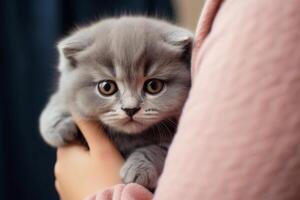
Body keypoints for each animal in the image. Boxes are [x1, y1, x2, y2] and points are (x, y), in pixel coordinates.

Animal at [39, 15, 192, 189]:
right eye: (107, 87)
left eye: (154, 86)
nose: (130, 109)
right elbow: (58, 101)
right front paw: (58, 127)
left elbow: (157, 150)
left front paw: (140, 168)